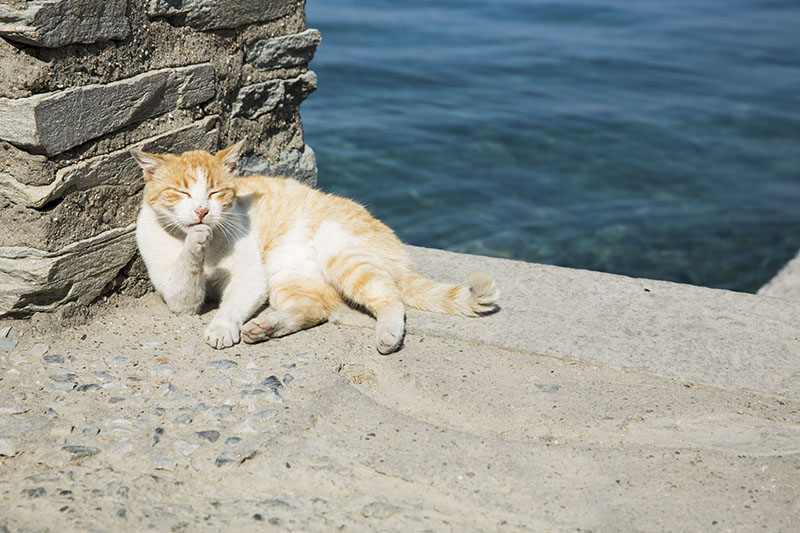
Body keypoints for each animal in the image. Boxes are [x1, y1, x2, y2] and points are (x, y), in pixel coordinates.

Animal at [130, 142, 496, 354]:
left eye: (217, 193)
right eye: (181, 192)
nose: (203, 212)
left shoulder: (250, 278)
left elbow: (230, 306)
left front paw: (221, 326)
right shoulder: (179, 298)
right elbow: (186, 271)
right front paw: (196, 241)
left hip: (341, 255)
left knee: (390, 300)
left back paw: (388, 336)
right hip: (289, 278)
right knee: (315, 309)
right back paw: (266, 327)